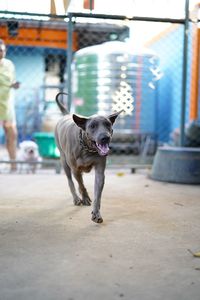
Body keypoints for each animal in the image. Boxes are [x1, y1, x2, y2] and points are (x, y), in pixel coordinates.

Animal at [54, 93, 122, 223]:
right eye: (92, 126)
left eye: (108, 124)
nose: (105, 137)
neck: (87, 148)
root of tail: (66, 115)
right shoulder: (75, 169)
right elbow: (81, 184)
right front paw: (85, 198)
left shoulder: (100, 171)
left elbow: (97, 194)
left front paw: (96, 212)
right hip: (64, 161)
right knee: (70, 181)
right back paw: (76, 198)